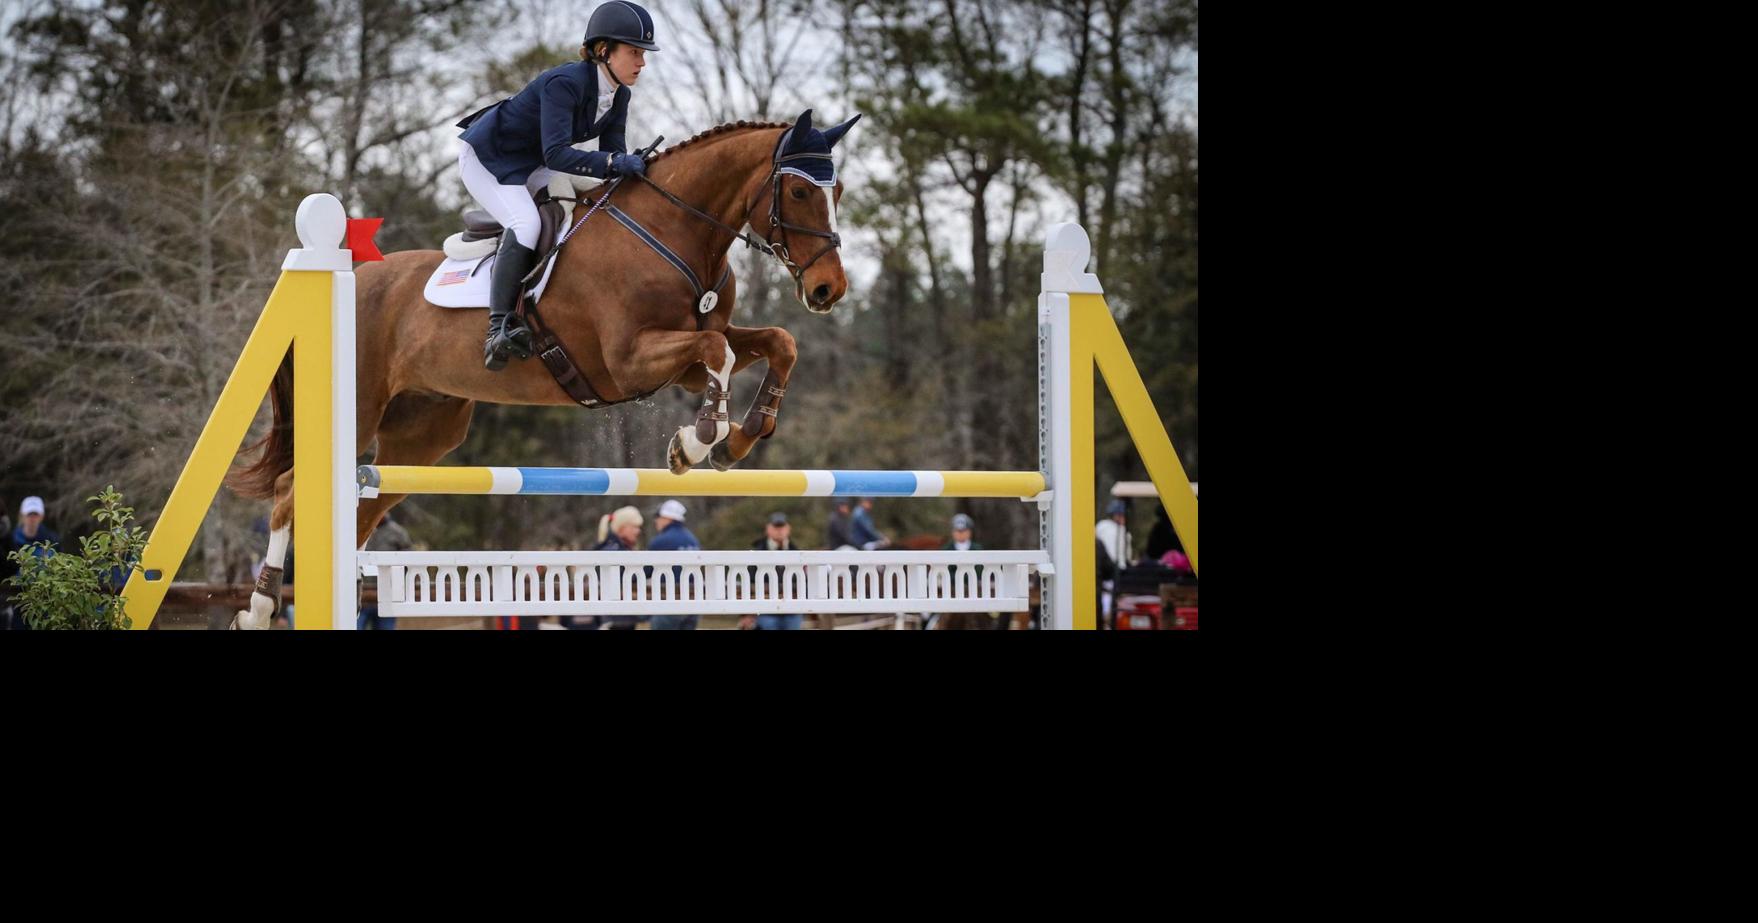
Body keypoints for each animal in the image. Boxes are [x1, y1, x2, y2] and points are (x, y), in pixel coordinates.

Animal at [224, 109, 860, 628]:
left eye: (838, 190)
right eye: (798, 191)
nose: (829, 290)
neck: (675, 231)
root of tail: (355, 273)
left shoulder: (681, 357)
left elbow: (776, 343)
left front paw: (742, 438)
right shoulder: (629, 360)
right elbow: (718, 354)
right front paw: (697, 441)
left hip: (422, 435)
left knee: (363, 512)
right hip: (358, 406)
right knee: (286, 491)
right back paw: (257, 607)